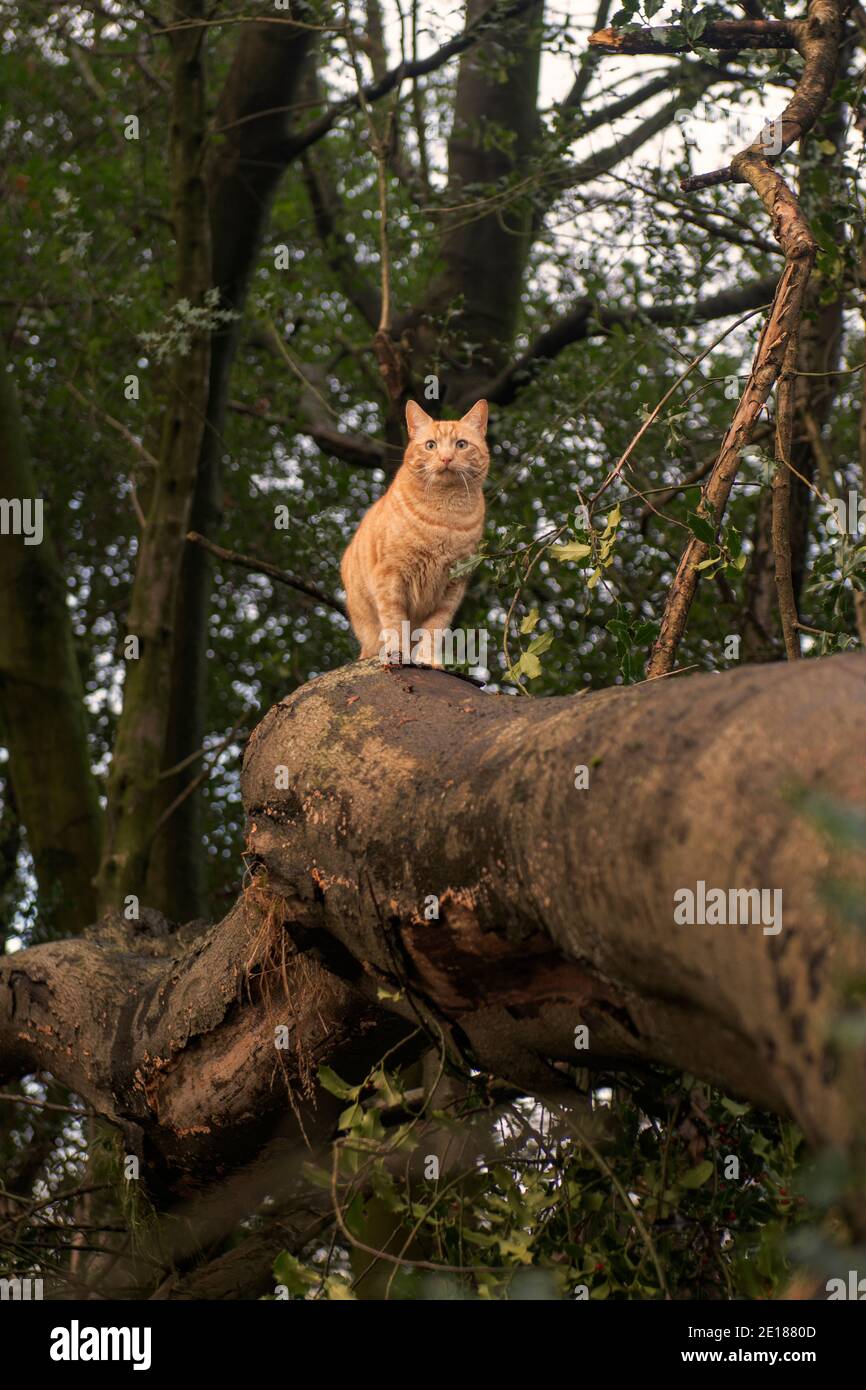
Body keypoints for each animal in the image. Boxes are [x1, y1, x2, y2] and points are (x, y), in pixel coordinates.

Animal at [339, 400, 489, 664]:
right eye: (431, 445)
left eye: (461, 444)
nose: (446, 458)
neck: (445, 517)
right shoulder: (390, 576)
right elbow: (395, 622)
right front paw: (397, 653)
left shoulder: (452, 587)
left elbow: (433, 629)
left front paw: (428, 660)